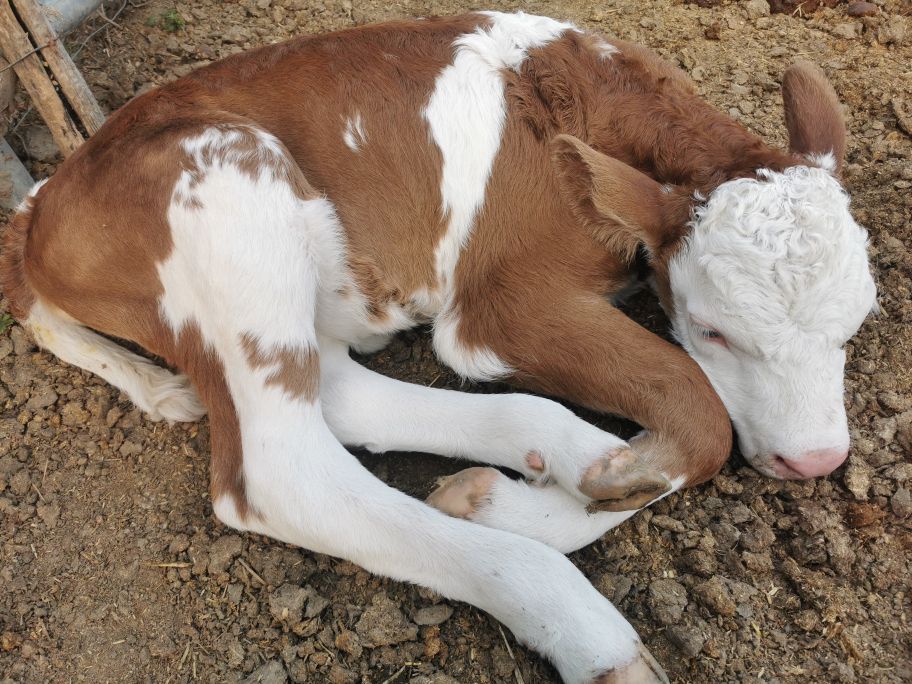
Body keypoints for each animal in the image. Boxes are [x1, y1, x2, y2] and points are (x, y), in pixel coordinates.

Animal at [0, 12, 876, 684]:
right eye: (714, 328)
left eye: (858, 319)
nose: (816, 460)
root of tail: (45, 205)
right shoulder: (500, 308)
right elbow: (700, 414)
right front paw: (585, 489)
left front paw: (530, 495)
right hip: (227, 184)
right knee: (282, 472)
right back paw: (588, 631)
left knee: (342, 392)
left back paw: (552, 453)